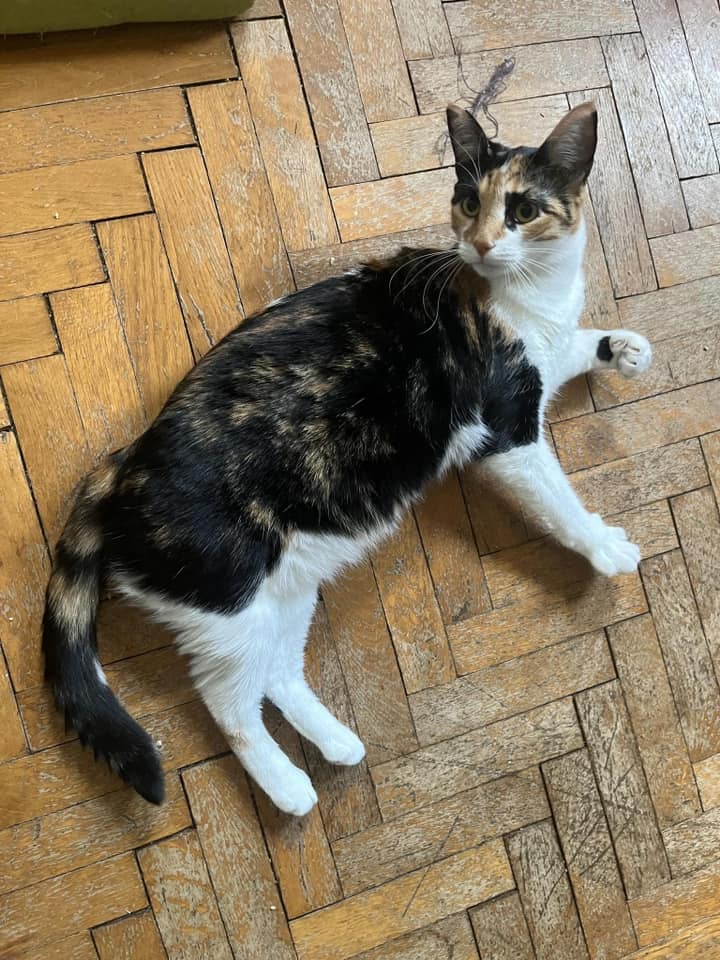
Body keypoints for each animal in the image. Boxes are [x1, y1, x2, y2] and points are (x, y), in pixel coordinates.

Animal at [43, 101, 652, 816]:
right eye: (469, 201)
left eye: (524, 209)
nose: (479, 243)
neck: (535, 295)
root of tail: (122, 465)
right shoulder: (506, 431)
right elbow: (557, 498)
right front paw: (603, 546)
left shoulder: (549, 353)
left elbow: (578, 345)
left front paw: (623, 348)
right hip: (230, 603)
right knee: (227, 700)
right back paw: (289, 788)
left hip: (287, 586)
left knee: (277, 672)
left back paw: (336, 743)